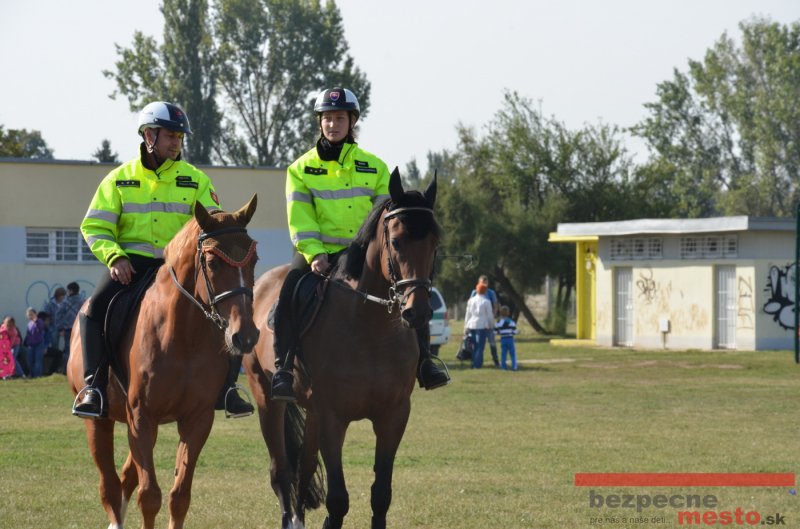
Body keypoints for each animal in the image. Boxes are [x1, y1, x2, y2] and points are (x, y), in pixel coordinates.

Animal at [66, 195, 260, 529]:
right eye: (212, 262)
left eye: (254, 260)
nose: (244, 336)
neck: (184, 335)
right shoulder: (141, 416)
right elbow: (149, 496)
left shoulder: (196, 419)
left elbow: (178, 496)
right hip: (100, 422)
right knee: (109, 485)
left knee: (125, 478)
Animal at [243, 169, 441, 529]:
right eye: (396, 241)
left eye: (435, 242)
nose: (416, 312)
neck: (370, 329)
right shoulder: (333, 418)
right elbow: (338, 499)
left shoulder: (393, 416)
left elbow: (381, 494)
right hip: (268, 399)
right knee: (281, 471)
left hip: (311, 413)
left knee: (304, 468)